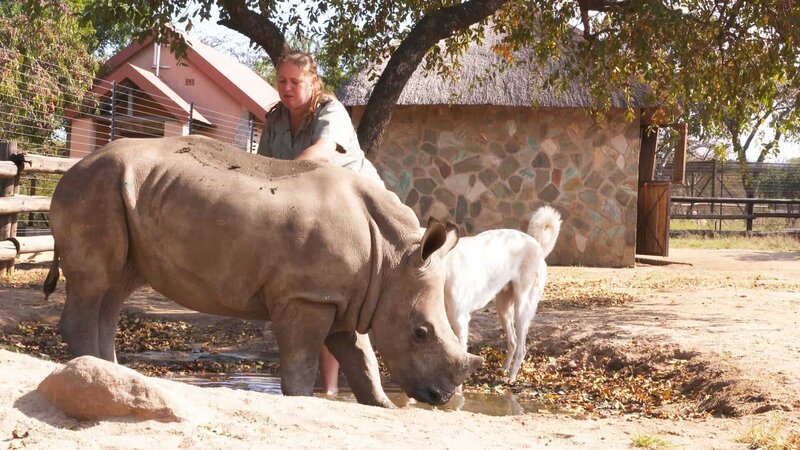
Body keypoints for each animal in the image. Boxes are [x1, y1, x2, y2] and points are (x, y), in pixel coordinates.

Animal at [440, 206, 560, 382]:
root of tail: (536, 243)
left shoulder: (459, 320)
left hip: (521, 309)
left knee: (521, 348)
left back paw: (511, 376)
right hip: (503, 309)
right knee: (513, 342)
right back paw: (504, 370)